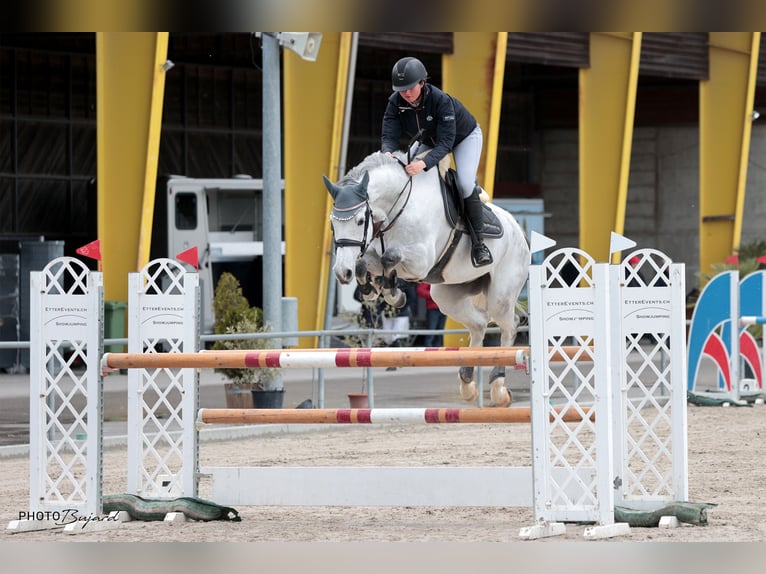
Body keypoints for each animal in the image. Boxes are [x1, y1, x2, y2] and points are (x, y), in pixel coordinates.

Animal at [320, 151, 532, 408]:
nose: (342, 272)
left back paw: (499, 388)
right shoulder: (375, 254)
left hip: (500, 295)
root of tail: (518, 230)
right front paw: (378, 289)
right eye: (332, 222)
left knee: (509, 325)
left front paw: (392, 292)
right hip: (447, 296)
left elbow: (391, 256)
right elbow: (365, 262)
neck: (398, 208)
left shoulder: (420, 261)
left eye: (360, 220)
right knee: (479, 323)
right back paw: (467, 383)